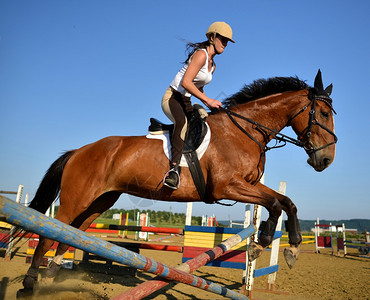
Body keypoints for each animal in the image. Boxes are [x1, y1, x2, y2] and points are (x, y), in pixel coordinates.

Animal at [21, 69, 336, 290]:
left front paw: (292, 247)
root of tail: (78, 151)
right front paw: (262, 242)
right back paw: (30, 281)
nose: (326, 160)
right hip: (77, 199)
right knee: (51, 233)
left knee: (71, 232)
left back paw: (52, 274)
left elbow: (286, 202)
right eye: (322, 114)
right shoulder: (227, 186)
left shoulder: (249, 184)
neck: (245, 130)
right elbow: (274, 204)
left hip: (100, 201)